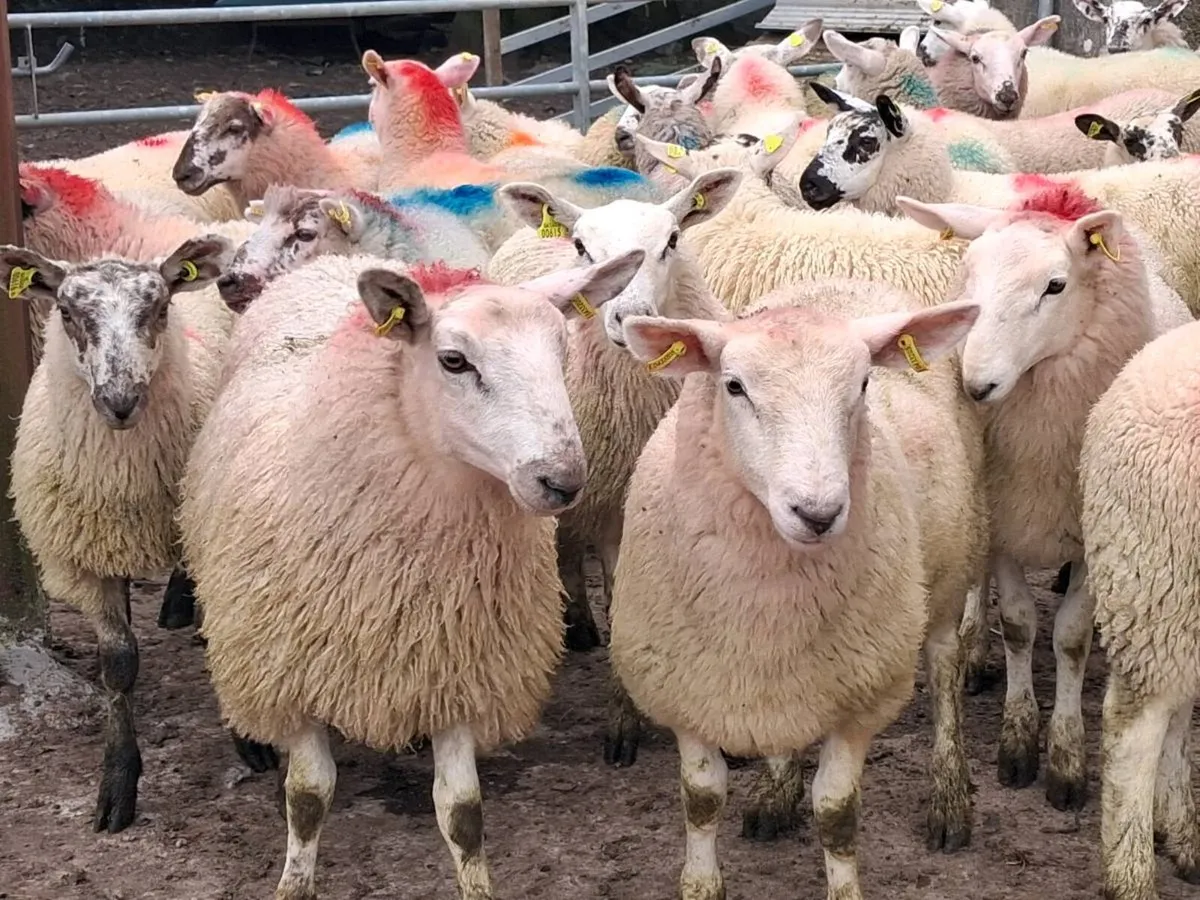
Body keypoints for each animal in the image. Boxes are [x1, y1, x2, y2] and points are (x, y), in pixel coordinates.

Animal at [0, 235, 275, 831]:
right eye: (67, 312)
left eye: (159, 307)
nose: (120, 401)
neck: (122, 478)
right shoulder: (84, 558)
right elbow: (119, 662)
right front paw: (118, 779)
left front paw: (248, 739)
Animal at [178, 249, 645, 900]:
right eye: (453, 360)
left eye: (561, 352)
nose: (563, 480)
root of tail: (338, 259)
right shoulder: (293, 673)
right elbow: (308, 798)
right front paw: (294, 882)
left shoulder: (456, 672)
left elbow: (463, 813)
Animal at [609, 282, 983, 899]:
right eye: (733, 386)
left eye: (863, 384)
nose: (818, 513)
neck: (766, 609)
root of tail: (844, 278)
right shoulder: (689, 692)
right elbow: (701, 801)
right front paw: (702, 883)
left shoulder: (862, 699)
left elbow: (836, 813)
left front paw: (844, 887)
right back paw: (776, 793)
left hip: (949, 576)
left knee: (946, 675)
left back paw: (950, 796)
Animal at [897, 189, 1185, 811]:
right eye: (968, 274)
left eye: (1055, 285)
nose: (976, 384)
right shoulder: (1005, 515)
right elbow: (1020, 625)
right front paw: (1018, 741)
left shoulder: (1096, 533)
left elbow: (1071, 638)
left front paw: (1066, 759)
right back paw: (973, 649)